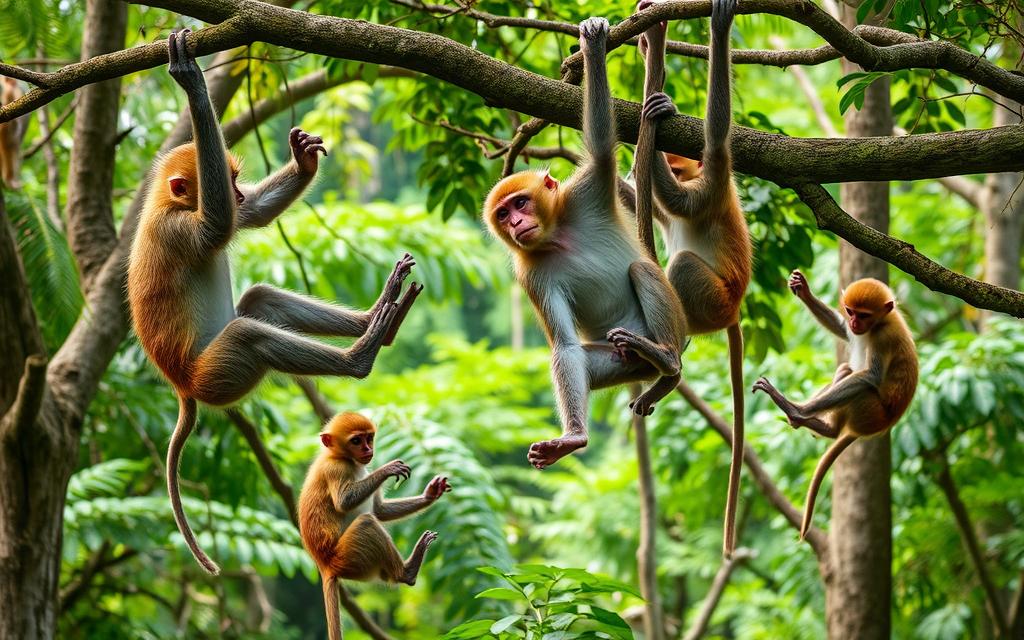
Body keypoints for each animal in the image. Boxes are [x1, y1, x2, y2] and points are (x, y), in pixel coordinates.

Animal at [126, 31, 423, 573]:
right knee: (249, 335)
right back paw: (360, 356)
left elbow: (248, 219)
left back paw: (378, 320)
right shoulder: (179, 229)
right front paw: (191, 83)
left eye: (238, 181)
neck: (163, 203)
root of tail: (181, 386)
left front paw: (303, 159)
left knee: (259, 300)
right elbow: (218, 225)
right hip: (218, 376)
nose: (239, 191)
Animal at [299, 411, 452, 638]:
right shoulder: (335, 468)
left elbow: (379, 510)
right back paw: (407, 573)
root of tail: (325, 565)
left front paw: (430, 494)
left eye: (369, 438)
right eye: (356, 441)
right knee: (367, 522)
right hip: (347, 557)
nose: (368, 449)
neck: (342, 457)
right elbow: (344, 501)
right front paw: (387, 469)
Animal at [481, 16, 688, 468]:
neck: (556, 235)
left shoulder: (586, 191)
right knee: (588, 360)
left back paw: (667, 358)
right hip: (622, 360)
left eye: (520, 203)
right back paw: (660, 377)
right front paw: (572, 436)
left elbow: (602, 147)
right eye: (503, 214)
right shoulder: (531, 274)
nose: (517, 223)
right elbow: (565, 347)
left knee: (642, 268)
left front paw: (592, 48)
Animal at [753, 270, 921, 540]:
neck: (881, 322)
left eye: (864, 315)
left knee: (861, 387)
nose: (855, 323)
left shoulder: (883, 336)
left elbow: (871, 376)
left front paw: (797, 409)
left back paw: (809, 420)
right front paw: (804, 290)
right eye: (850, 312)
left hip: (870, 410)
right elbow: (842, 331)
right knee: (845, 369)